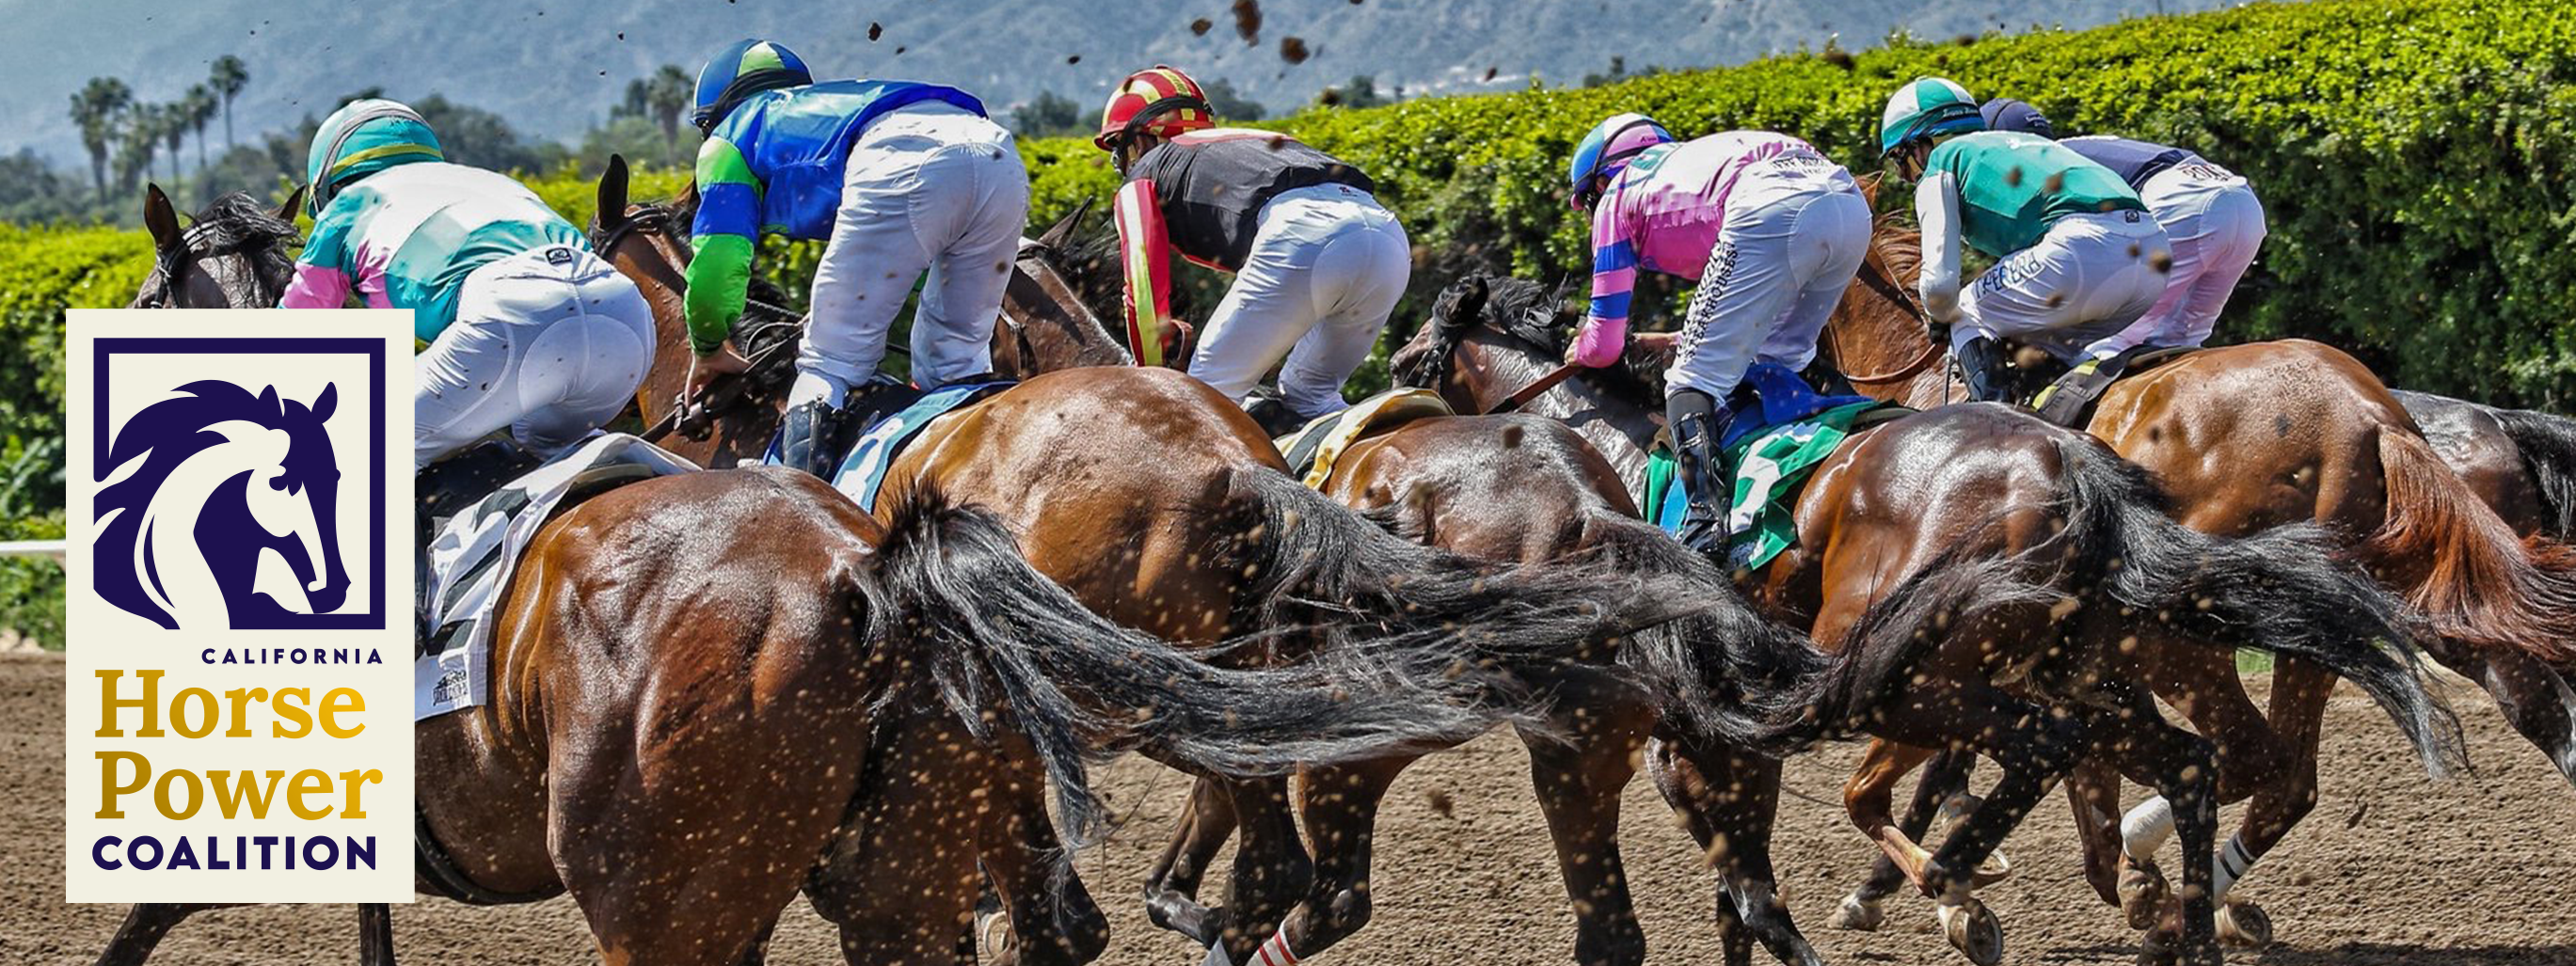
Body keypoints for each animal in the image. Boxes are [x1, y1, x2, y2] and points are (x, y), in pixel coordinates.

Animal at [1391, 274, 2452, 966]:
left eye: (1417, 344)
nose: (1388, 398)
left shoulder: (1698, 739)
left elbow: (1775, 869)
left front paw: (1927, 890)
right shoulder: (1733, 741)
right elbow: (1747, 892)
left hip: (1917, 675)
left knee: (2088, 751)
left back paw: (1970, 879)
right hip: (2073, 669)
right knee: (2200, 763)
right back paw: (2179, 923)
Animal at [1834, 214, 2576, 942]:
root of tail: (2373, 419)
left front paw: (1920, 892)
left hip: (2198, 630)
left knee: (2259, 759)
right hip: (2394, 621)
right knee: (2318, 769)